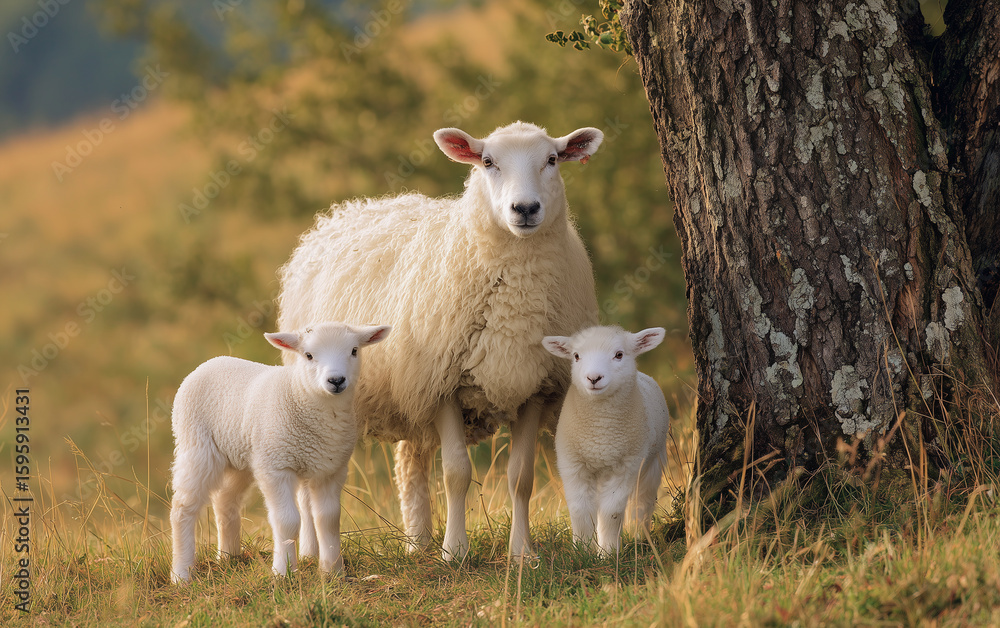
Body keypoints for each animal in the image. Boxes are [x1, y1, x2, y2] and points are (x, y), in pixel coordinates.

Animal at [169, 322, 391, 583]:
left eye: (354, 350)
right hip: (197, 446)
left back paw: (228, 557)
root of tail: (212, 361)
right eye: (308, 355)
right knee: (183, 507)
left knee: (225, 500)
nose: (336, 380)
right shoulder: (276, 467)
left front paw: (333, 572)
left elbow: (328, 519)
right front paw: (283, 572)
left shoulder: (330, 469)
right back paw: (181, 574)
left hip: (242, 457)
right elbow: (287, 520)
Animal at [277, 121, 603, 560]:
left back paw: (418, 542)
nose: (525, 209)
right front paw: (455, 552)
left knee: (409, 462)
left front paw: (522, 552)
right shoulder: (443, 382)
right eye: (488, 162)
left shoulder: (534, 387)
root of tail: (346, 211)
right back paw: (313, 552)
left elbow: (521, 477)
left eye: (552, 160)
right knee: (311, 476)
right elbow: (456, 473)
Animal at [542, 326, 669, 555]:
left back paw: (640, 538)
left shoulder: (626, 465)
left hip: (653, 461)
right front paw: (582, 551)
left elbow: (612, 511)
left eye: (619, 354)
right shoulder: (573, 464)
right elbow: (580, 509)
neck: (601, 434)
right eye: (576, 356)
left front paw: (608, 553)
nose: (593, 378)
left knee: (642, 502)